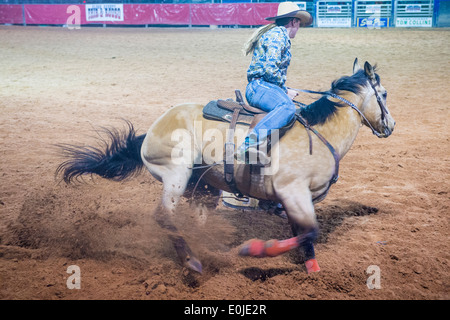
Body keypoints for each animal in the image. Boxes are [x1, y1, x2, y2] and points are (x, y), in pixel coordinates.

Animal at [55, 60, 394, 276]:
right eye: (385, 94)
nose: (390, 125)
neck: (320, 133)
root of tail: (151, 130)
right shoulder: (292, 191)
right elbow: (310, 230)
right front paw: (256, 250)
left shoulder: (298, 199)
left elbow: (305, 235)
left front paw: (313, 270)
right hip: (176, 174)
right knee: (165, 217)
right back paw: (192, 262)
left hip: (204, 186)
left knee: (195, 221)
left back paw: (208, 251)